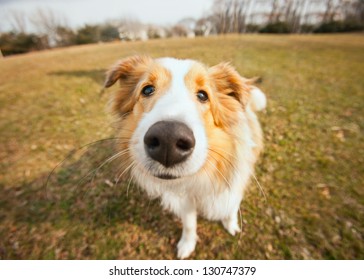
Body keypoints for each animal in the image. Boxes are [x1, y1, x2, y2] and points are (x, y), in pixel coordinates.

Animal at [104, 55, 266, 260]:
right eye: (147, 89)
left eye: (203, 95)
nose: (168, 139)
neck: (199, 177)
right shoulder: (186, 200)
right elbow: (189, 224)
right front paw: (187, 245)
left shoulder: (235, 183)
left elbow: (230, 208)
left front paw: (231, 225)